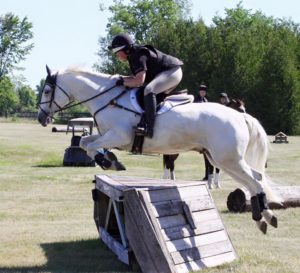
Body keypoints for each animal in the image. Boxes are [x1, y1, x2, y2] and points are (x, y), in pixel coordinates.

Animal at [37, 65, 282, 232]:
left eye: (47, 91)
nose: (41, 118)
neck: (107, 99)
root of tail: (240, 116)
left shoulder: (119, 136)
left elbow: (90, 145)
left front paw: (108, 161)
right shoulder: (110, 136)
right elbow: (86, 143)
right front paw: (111, 160)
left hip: (227, 159)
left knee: (255, 180)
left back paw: (265, 216)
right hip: (221, 159)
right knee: (255, 179)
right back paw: (263, 217)